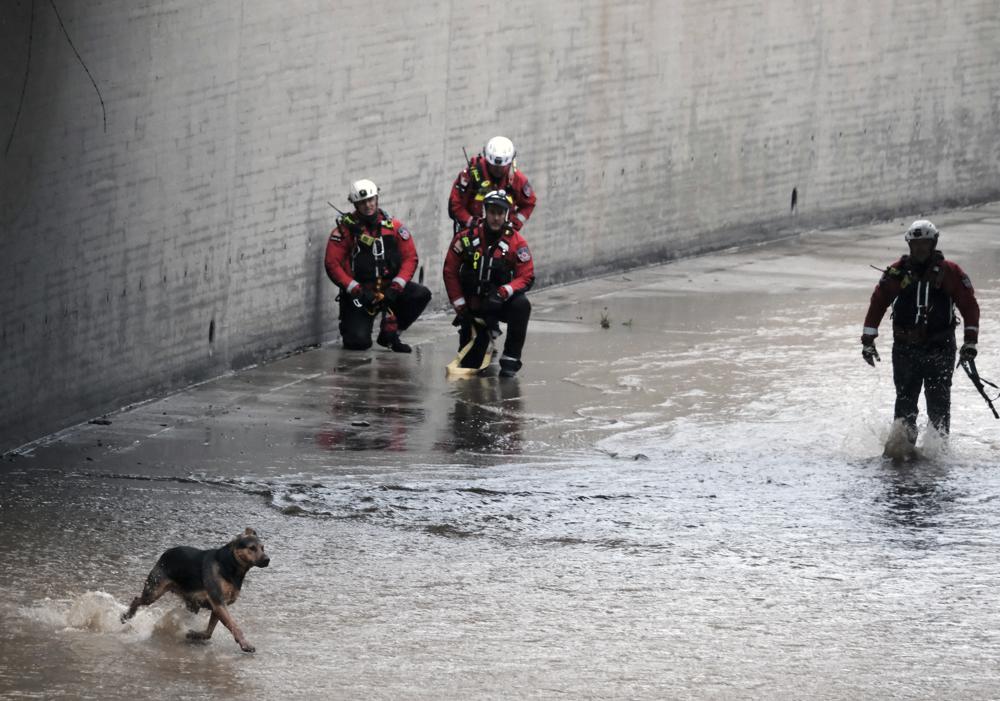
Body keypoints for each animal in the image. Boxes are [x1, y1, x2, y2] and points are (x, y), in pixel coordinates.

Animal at [120, 524, 270, 652]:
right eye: (252, 548)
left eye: (263, 548)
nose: (267, 560)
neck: (230, 564)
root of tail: (166, 553)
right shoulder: (218, 603)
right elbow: (234, 626)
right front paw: (246, 644)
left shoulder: (218, 607)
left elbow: (209, 632)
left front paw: (194, 635)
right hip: (154, 591)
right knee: (137, 599)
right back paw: (127, 616)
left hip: (192, 603)